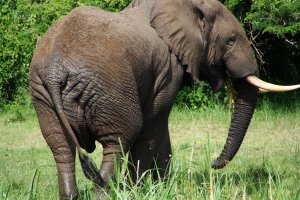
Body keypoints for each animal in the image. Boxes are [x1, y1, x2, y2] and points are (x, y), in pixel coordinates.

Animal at [28, 0, 300, 198]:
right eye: (231, 40)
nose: (213, 163)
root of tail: (54, 69)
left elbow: (160, 130)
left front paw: (162, 186)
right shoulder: (167, 71)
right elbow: (153, 125)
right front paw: (141, 191)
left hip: (43, 95)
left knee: (61, 148)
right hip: (107, 89)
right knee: (119, 140)